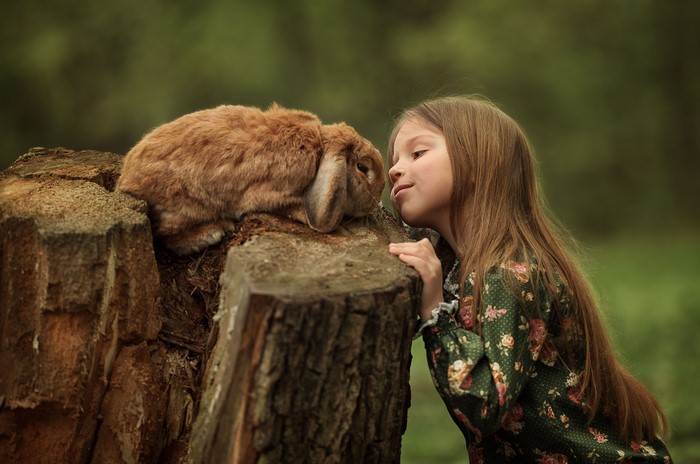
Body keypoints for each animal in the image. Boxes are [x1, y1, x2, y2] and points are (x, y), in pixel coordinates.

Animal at [116, 103, 386, 255]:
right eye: (362, 167)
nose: (378, 198)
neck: (320, 148)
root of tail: (126, 180)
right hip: (184, 206)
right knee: (164, 235)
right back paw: (214, 231)